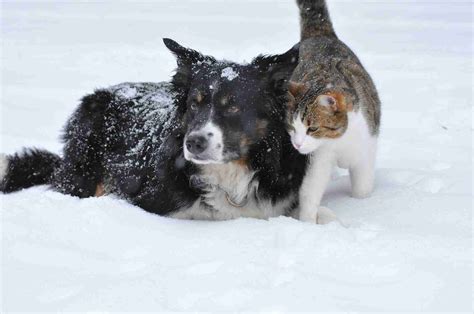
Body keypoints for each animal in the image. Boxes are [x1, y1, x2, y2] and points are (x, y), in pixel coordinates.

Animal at [286, 0, 382, 223]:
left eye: (312, 128)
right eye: (291, 127)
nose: (297, 144)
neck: (340, 140)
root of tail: (319, 35)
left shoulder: (366, 147)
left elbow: (362, 188)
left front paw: (363, 205)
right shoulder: (319, 157)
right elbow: (310, 190)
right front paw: (307, 223)